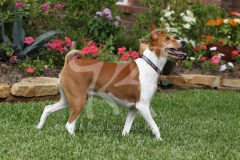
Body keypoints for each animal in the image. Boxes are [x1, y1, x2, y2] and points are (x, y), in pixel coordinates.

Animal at [35, 22, 187, 140]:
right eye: (168, 38)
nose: (184, 42)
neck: (150, 64)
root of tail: (68, 63)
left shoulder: (134, 108)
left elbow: (126, 128)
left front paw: (124, 139)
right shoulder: (143, 106)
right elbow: (155, 127)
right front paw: (160, 140)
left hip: (68, 100)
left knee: (47, 108)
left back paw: (39, 126)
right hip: (78, 101)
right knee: (69, 125)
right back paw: (75, 138)